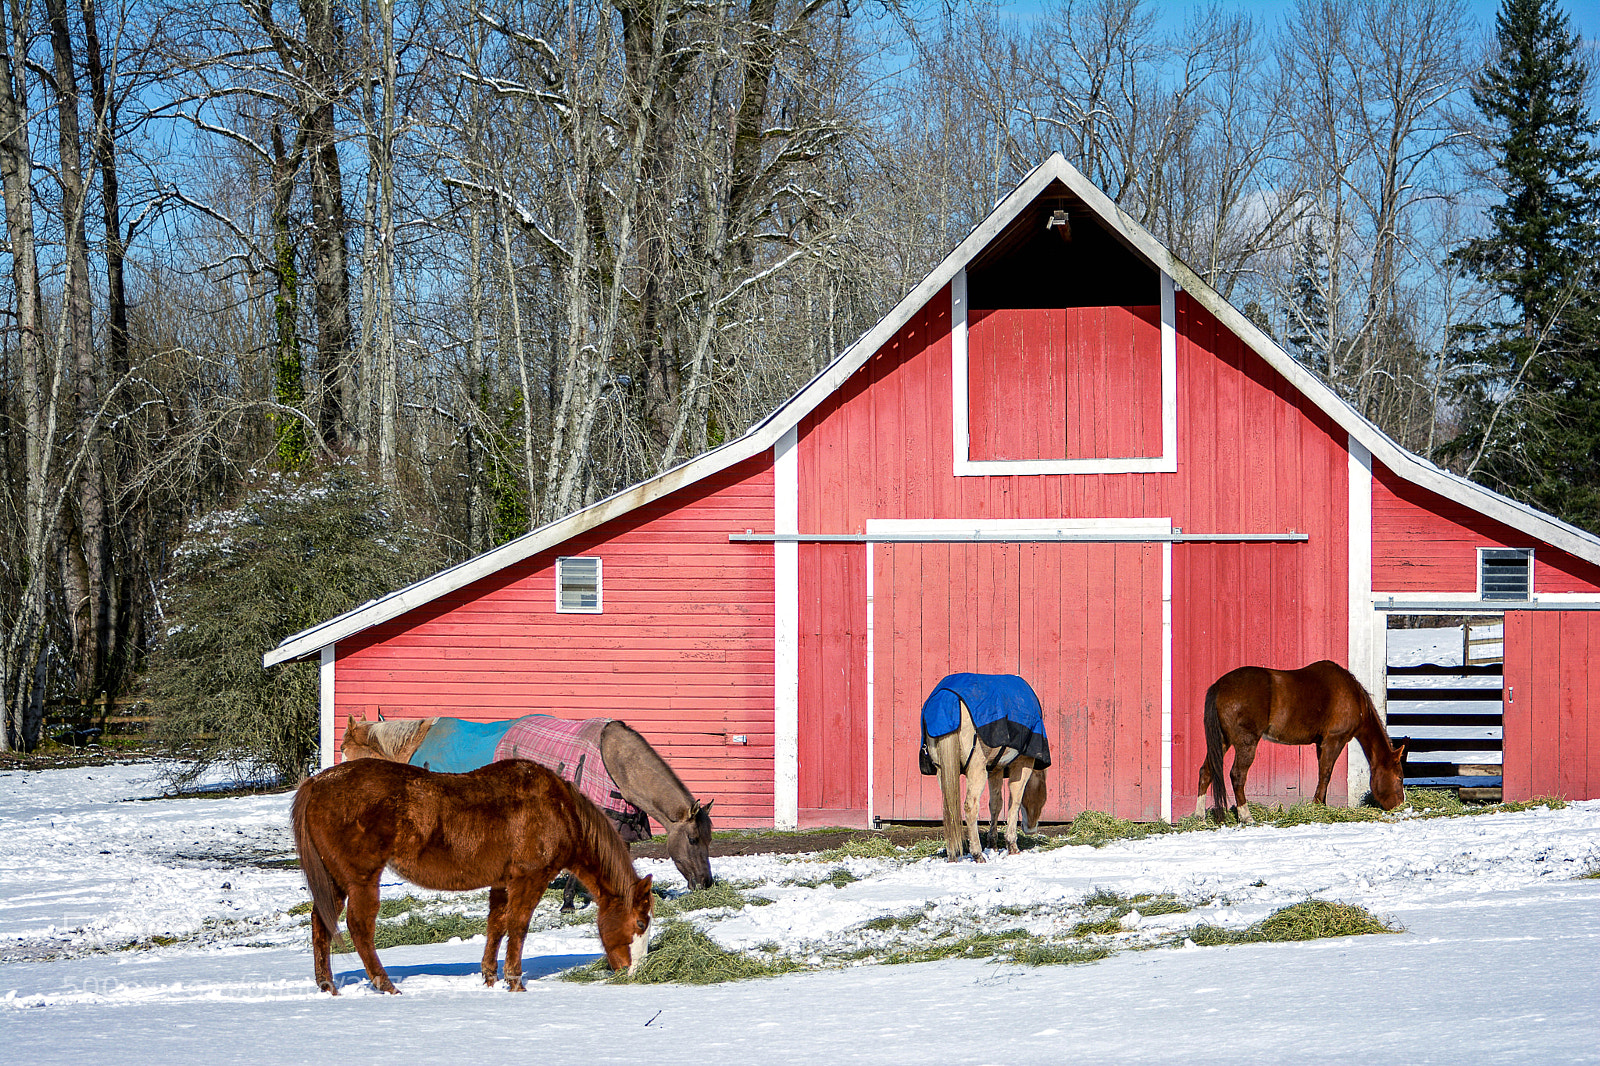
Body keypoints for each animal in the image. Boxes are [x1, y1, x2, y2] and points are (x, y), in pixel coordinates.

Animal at [292, 757, 654, 994]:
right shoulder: (530, 878)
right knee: (359, 928)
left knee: (320, 921)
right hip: (361, 879)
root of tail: (317, 783)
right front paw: (514, 981)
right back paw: (386, 985)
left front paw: (490, 977)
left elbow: (496, 926)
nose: (631, 972)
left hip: (334, 880)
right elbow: (518, 926)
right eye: (640, 922)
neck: (559, 810)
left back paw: (327, 985)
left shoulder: (502, 882)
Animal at [920, 673, 1051, 862]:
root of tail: (947, 698)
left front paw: (992, 843)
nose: (1032, 829)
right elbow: (1014, 801)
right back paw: (977, 854)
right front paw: (1012, 845)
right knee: (970, 806)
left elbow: (996, 804)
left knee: (949, 809)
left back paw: (953, 854)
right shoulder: (1023, 764)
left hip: (942, 771)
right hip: (976, 770)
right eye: (1043, 797)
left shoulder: (995, 769)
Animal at [1195, 660, 1408, 825]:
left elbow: (1323, 774)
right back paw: (1247, 817)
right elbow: (1325, 774)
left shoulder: (1320, 744)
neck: (1353, 696)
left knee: (1206, 772)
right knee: (1237, 775)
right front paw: (1318, 806)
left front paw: (1320, 805)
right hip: (1246, 743)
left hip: (1222, 742)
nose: (1400, 805)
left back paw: (1199, 817)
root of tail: (1220, 686)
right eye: (1399, 777)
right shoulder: (1334, 741)